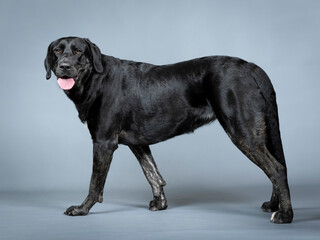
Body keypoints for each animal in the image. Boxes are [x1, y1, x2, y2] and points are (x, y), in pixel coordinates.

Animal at [44, 37, 292, 223]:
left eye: (78, 51)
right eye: (57, 50)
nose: (64, 66)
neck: (95, 79)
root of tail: (251, 67)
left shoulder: (103, 143)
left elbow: (95, 183)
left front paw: (82, 209)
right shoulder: (137, 142)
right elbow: (153, 173)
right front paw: (160, 203)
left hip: (243, 132)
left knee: (276, 168)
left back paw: (285, 214)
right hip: (260, 133)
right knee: (276, 165)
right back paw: (274, 205)